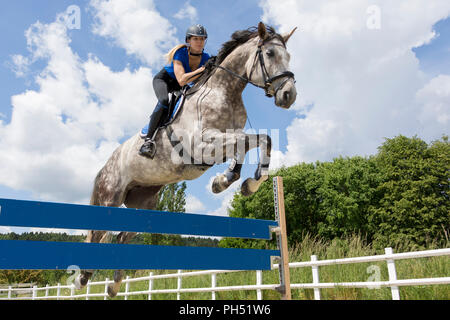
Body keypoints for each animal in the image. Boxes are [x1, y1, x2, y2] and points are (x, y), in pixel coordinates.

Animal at [75, 22, 298, 298]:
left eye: (288, 56)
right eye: (269, 54)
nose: (289, 95)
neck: (226, 91)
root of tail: (106, 164)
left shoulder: (226, 140)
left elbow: (256, 142)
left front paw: (239, 183)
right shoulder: (203, 144)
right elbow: (250, 141)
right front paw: (230, 181)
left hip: (144, 202)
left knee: (122, 236)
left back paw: (113, 286)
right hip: (110, 197)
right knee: (97, 233)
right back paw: (82, 278)